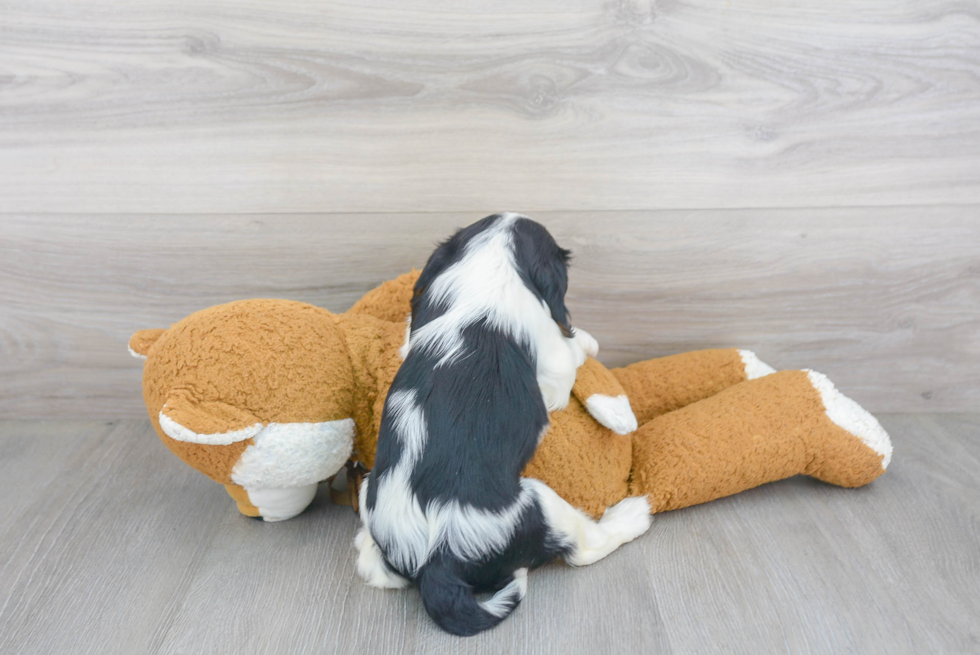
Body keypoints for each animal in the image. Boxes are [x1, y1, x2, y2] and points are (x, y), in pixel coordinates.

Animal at [352, 214, 652, 636]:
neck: (491, 267)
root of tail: (434, 565)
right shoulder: (554, 374)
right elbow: (570, 352)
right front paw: (587, 342)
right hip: (535, 507)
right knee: (583, 548)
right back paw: (632, 515)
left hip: (369, 488)